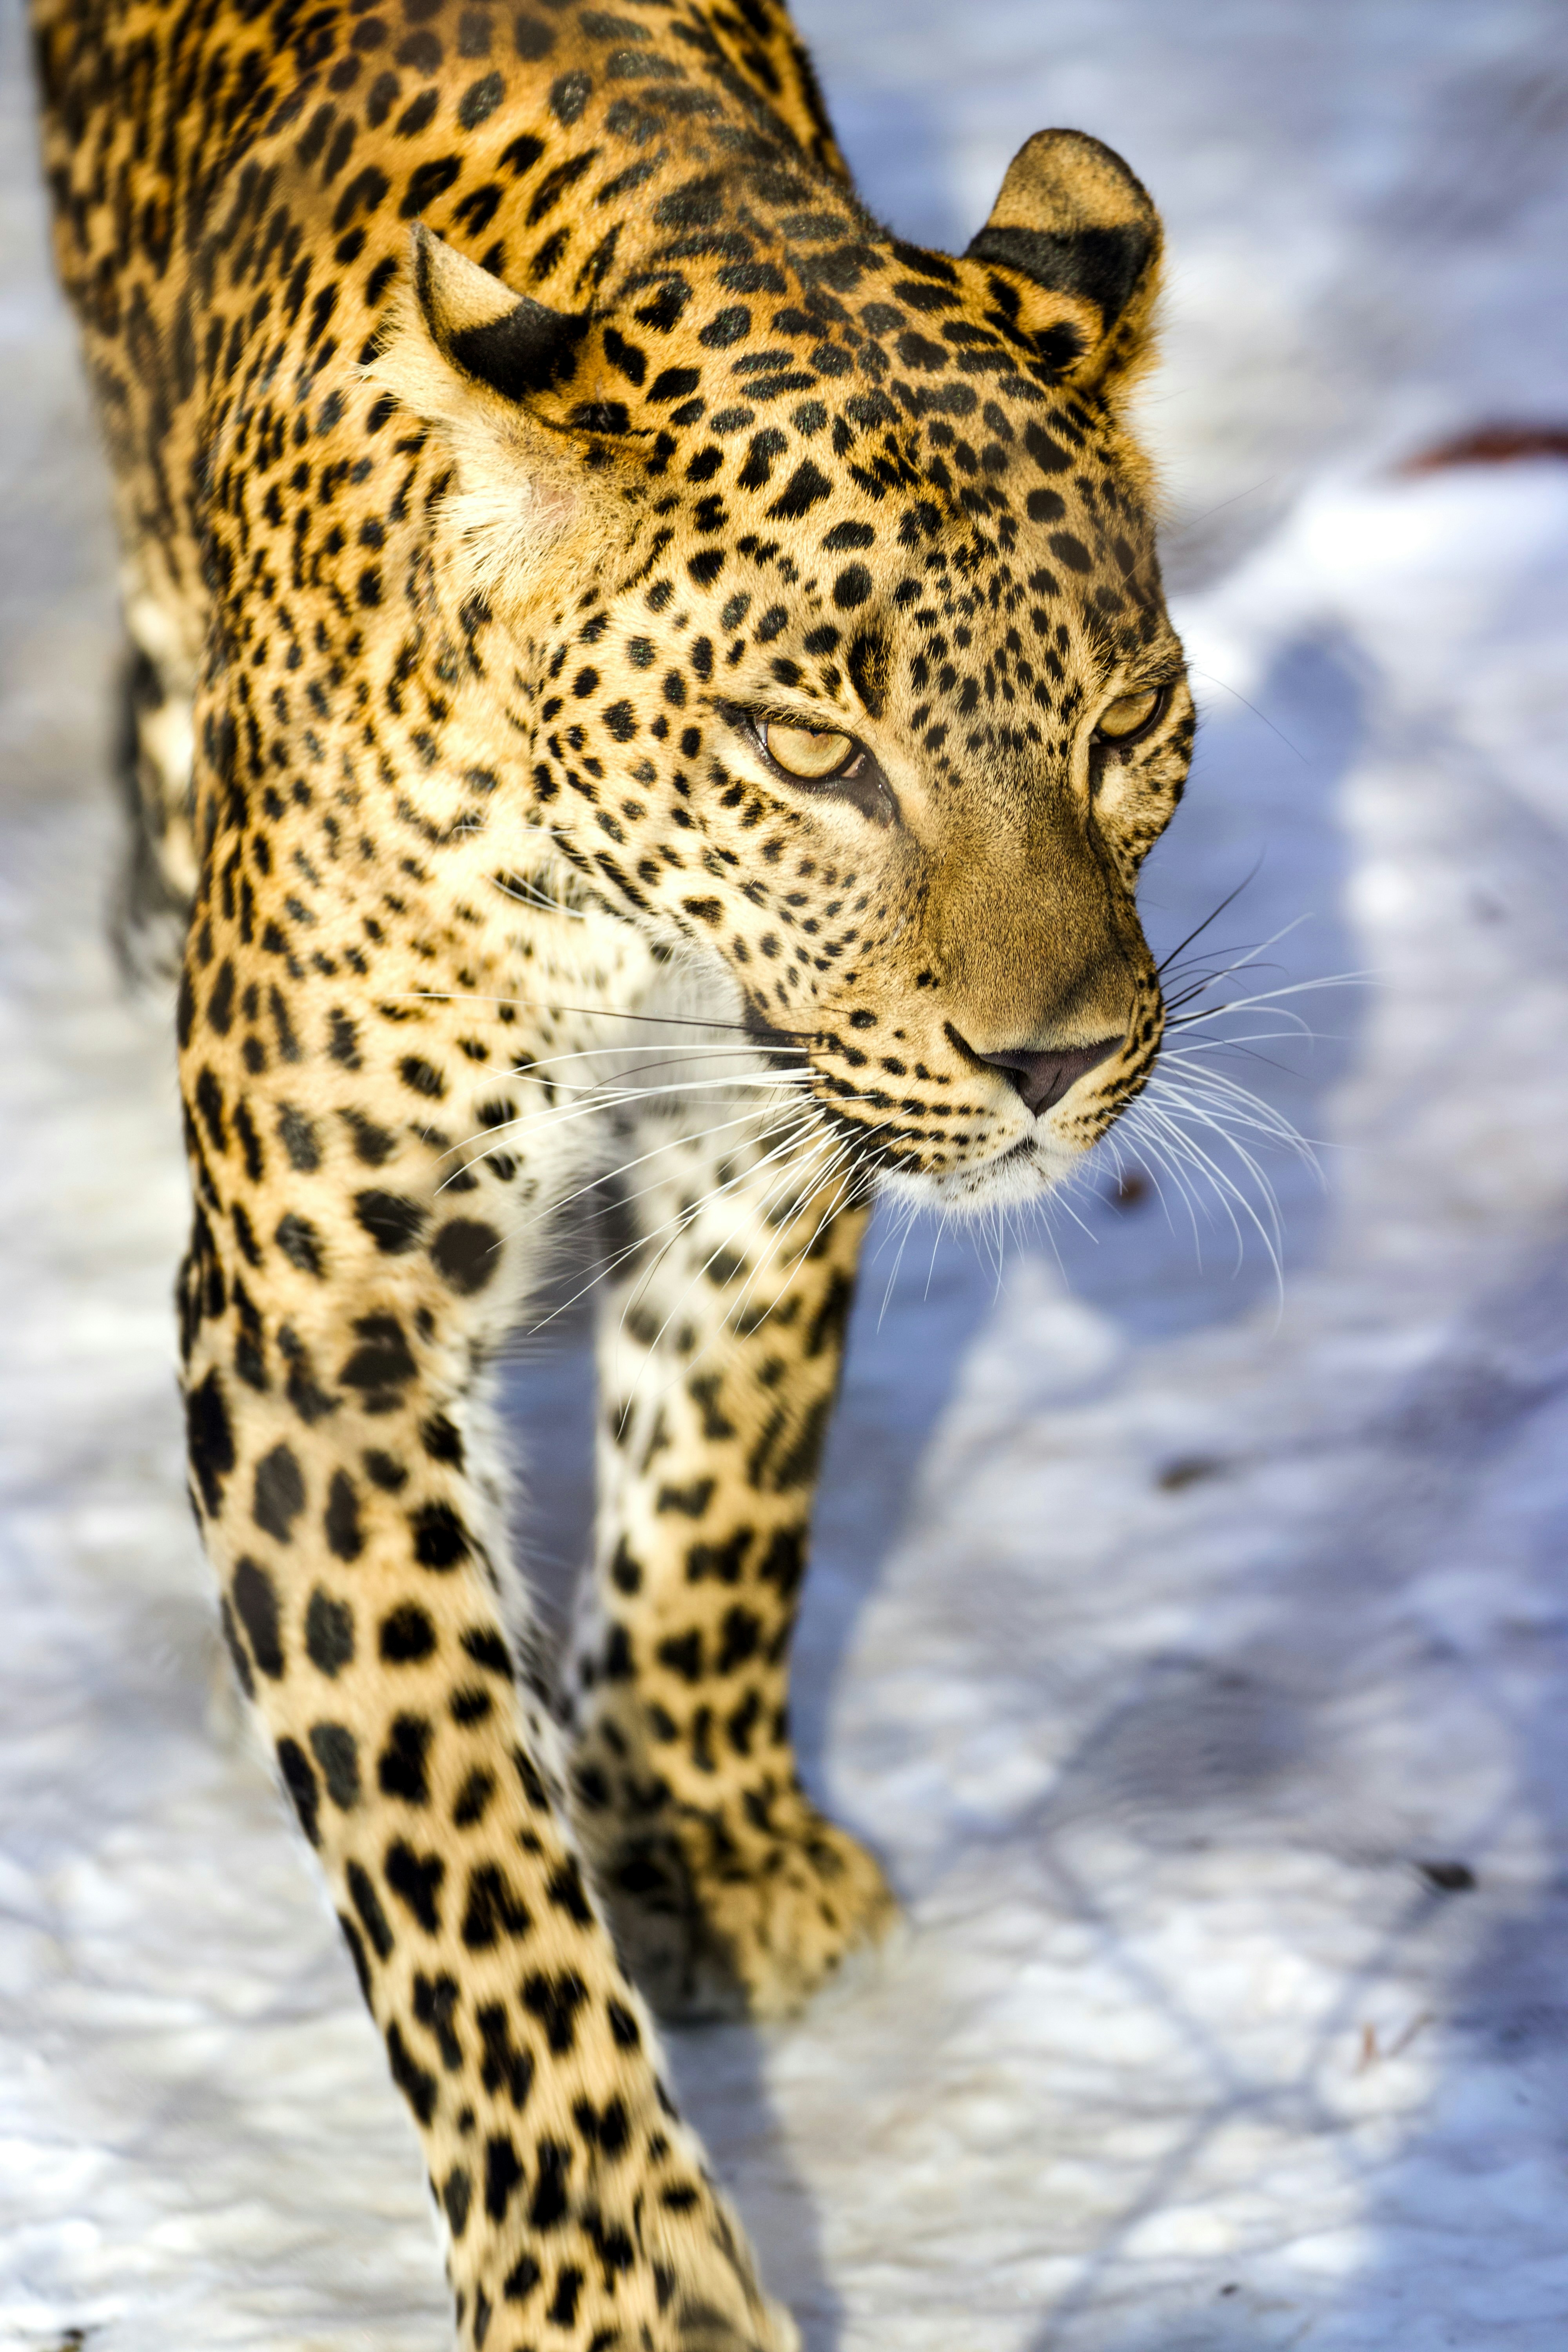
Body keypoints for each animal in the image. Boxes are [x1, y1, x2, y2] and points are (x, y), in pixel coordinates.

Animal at [32, 0, 1196, 2341]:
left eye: (1127, 728)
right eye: (810, 749)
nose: (1050, 1064)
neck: (623, 901)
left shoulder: (769, 1145)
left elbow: (725, 1496)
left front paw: (705, 1844)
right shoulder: (323, 1321)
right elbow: (455, 1851)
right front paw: (610, 2281)